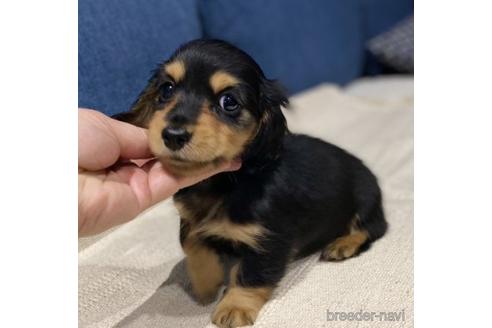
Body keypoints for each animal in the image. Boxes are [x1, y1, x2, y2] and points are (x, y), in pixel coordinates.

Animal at [113, 39, 386, 326]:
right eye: (167, 89)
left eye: (229, 102)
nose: (173, 135)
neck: (223, 184)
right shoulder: (190, 221)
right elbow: (193, 245)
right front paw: (206, 284)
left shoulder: (268, 240)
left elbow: (250, 275)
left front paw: (234, 307)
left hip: (366, 198)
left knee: (372, 228)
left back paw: (342, 245)